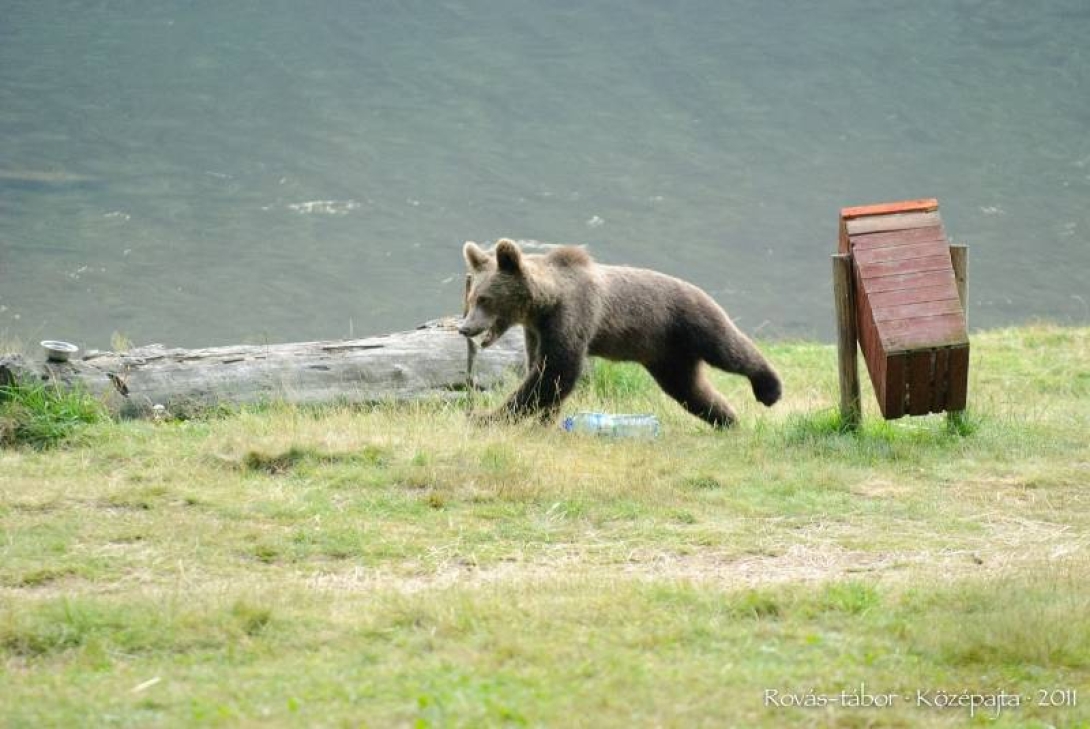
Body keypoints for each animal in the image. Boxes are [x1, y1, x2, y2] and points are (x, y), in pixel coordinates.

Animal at [459, 238, 784, 427]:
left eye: (485, 299)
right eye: (472, 298)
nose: (465, 327)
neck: (546, 302)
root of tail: (699, 289)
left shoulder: (574, 317)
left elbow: (556, 372)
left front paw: (486, 417)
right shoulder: (537, 331)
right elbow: (543, 370)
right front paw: (544, 420)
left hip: (690, 321)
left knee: (728, 350)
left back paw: (769, 389)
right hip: (668, 355)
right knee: (689, 389)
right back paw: (727, 418)